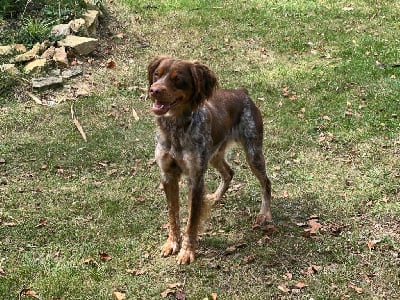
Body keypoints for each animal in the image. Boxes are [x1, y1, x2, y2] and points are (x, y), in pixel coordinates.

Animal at [148, 56, 274, 264]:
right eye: (156, 75)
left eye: (177, 79)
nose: (154, 90)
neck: (176, 128)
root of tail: (242, 92)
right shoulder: (168, 175)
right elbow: (173, 214)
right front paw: (172, 243)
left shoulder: (195, 179)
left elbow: (192, 221)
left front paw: (187, 251)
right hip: (215, 155)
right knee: (229, 173)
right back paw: (215, 197)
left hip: (253, 152)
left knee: (266, 182)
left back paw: (265, 214)